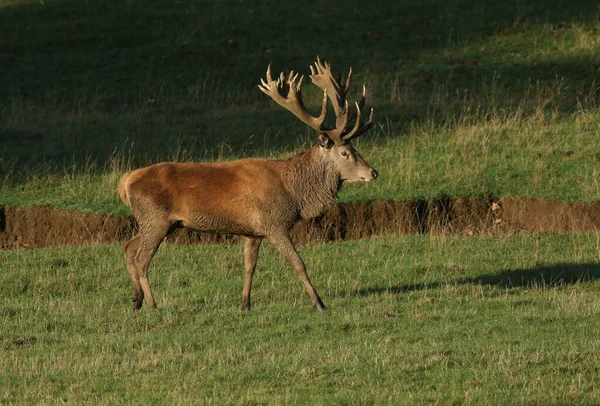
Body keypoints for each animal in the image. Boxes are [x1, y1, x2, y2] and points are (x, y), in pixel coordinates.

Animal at [118, 56, 378, 310]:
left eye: (355, 148)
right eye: (345, 153)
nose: (373, 172)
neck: (294, 194)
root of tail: (126, 182)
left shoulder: (253, 231)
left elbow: (249, 267)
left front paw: (245, 304)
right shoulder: (274, 223)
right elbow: (298, 262)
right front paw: (319, 302)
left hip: (158, 222)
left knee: (129, 247)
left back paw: (136, 300)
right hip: (156, 219)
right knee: (141, 259)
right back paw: (152, 305)